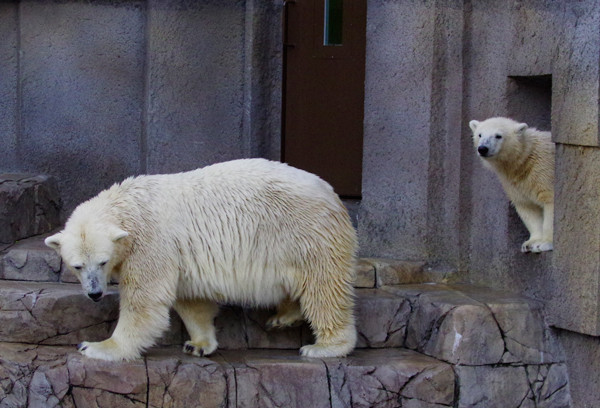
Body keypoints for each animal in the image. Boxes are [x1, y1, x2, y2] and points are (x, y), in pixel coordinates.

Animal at [47, 159, 358, 360]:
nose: (95, 293)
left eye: (102, 262)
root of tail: (333, 195)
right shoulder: (179, 255)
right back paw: (282, 318)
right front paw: (198, 343)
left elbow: (144, 302)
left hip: (304, 233)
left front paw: (97, 347)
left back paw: (325, 347)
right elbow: (191, 300)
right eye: (77, 265)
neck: (130, 206)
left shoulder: (151, 243)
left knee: (323, 287)